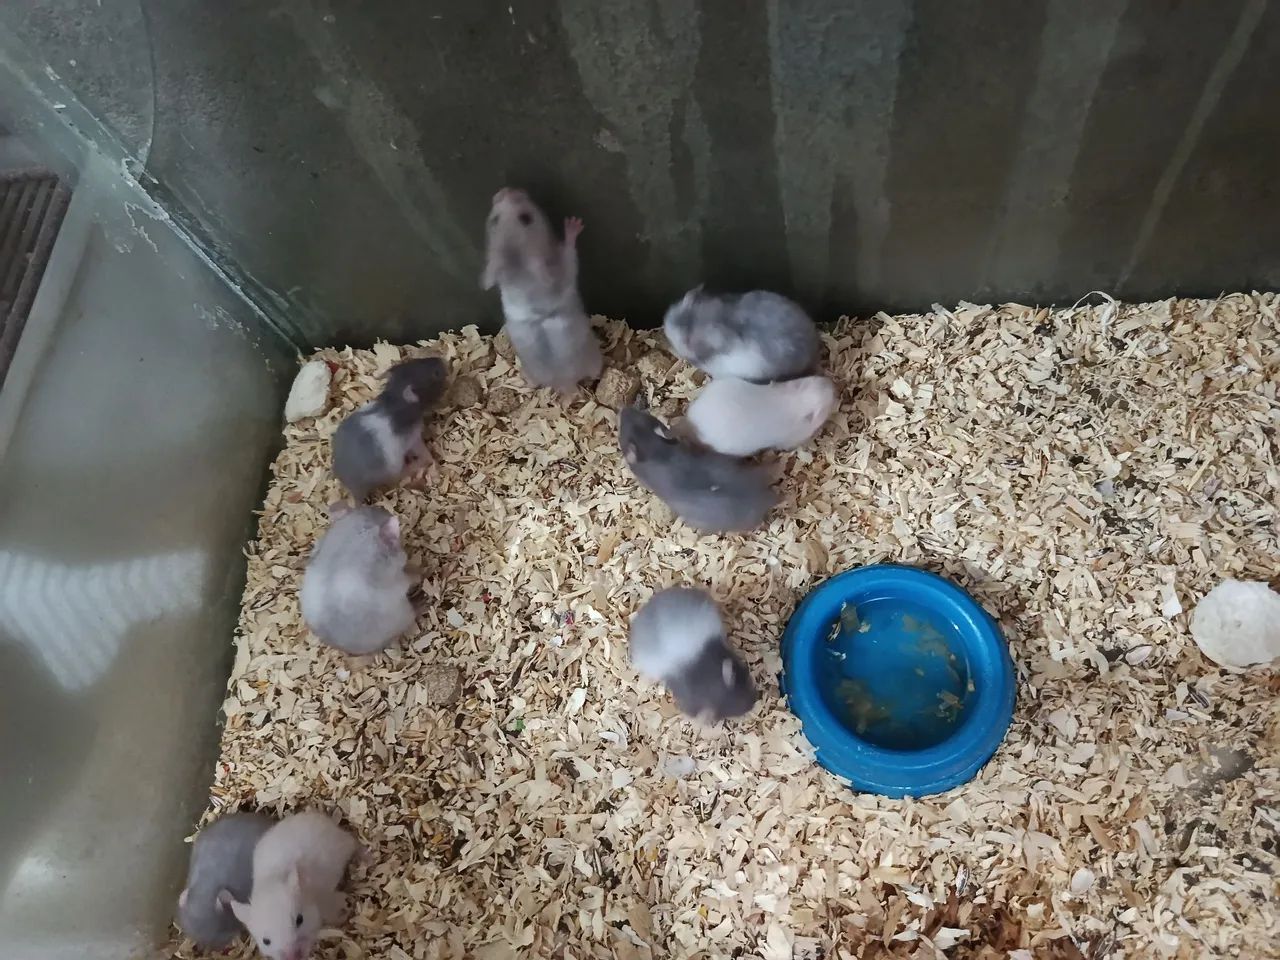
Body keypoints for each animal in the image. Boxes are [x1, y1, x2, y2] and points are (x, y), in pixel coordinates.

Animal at [224, 810, 359, 960]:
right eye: (266, 941)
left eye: (300, 920)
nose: (294, 957)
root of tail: (316, 815)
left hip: (340, 844)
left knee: (353, 842)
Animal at [331, 357, 447, 501]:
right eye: (436, 373)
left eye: (418, 360)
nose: (442, 360)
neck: (393, 398)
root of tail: (354, 489)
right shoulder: (414, 438)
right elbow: (423, 451)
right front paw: (433, 461)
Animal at [481, 187, 603, 392]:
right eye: (526, 218)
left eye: (493, 220)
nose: (506, 190)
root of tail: (565, 384)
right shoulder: (562, 273)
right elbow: (570, 258)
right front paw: (573, 224)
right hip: (594, 358)